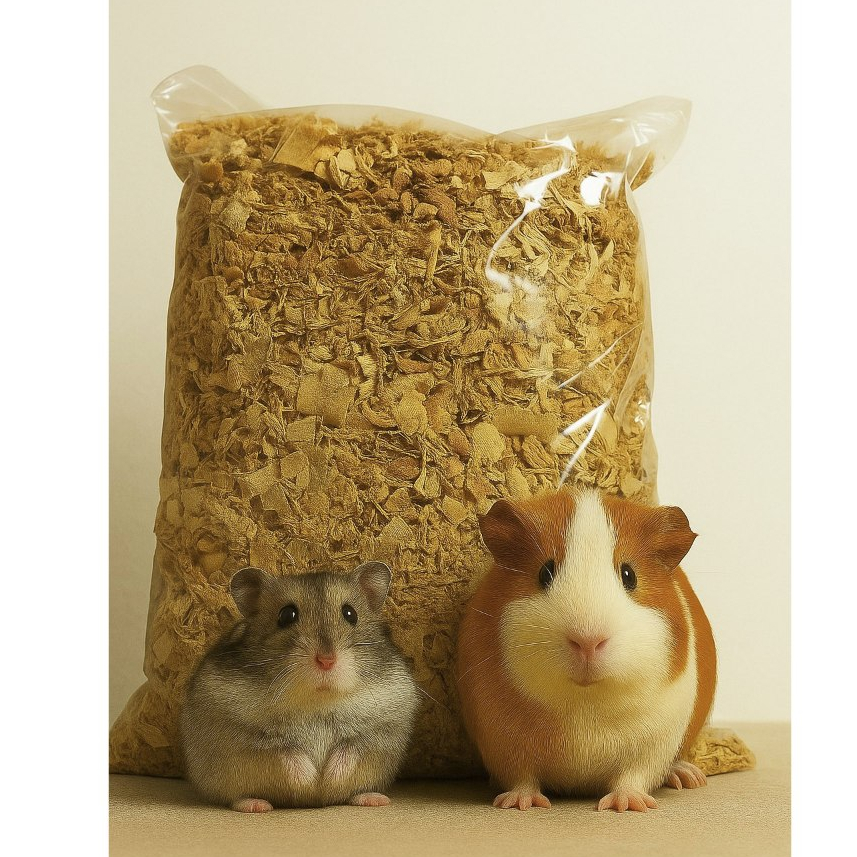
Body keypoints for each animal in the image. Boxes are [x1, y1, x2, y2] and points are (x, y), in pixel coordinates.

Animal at [181, 561, 420, 812]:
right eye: (287, 615)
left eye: (350, 614)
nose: (326, 660)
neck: (317, 699)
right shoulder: (238, 731)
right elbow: (283, 749)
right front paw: (311, 781)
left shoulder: (381, 729)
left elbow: (351, 746)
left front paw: (327, 781)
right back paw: (256, 805)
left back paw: (374, 799)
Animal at [457, 487, 716, 813]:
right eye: (545, 572)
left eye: (629, 575)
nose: (587, 641)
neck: (584, 705)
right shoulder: (503, 741)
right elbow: (522, 778)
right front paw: (519, 804)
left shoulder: (652, 745)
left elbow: (633, 777)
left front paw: (626, 805)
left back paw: (689, 777)